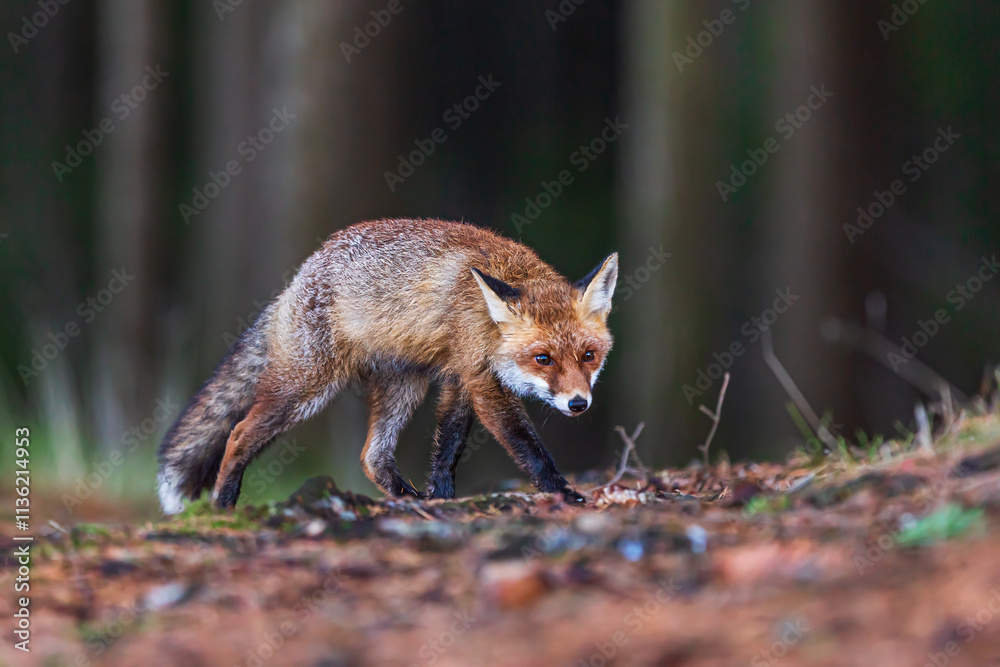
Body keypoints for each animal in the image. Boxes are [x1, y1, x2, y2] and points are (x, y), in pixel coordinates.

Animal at [157, 218, 618, 513]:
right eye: (542, 358)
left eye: (588, 356)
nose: (579, 404)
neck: (483, 315)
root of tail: (296, 280)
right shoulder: (481, 381)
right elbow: (527, 445)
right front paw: (565, 493)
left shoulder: (459, 377)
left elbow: (448, 447)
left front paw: (441, 498)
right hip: (307, 390)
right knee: (237, 434)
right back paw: (223, 507)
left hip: (404, 388)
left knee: (372, 456)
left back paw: (407, 497)